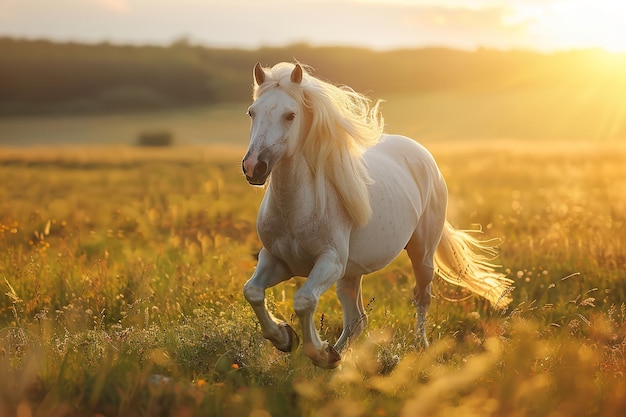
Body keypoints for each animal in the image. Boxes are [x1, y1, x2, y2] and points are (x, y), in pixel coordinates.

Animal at [241, 61, 510, 368]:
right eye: (252, 112)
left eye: (290, 115)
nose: (254, 167)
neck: (296, 208)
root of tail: (421, 153)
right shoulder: (276, 260)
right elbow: (252, 291)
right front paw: (286, 338)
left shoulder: (329, 262)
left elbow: (304, 300)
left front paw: (316, 351)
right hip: (350, 274)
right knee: (357, 319)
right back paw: (337, 355)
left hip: (421, 254)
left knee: (422, 298)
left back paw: (419, 346)